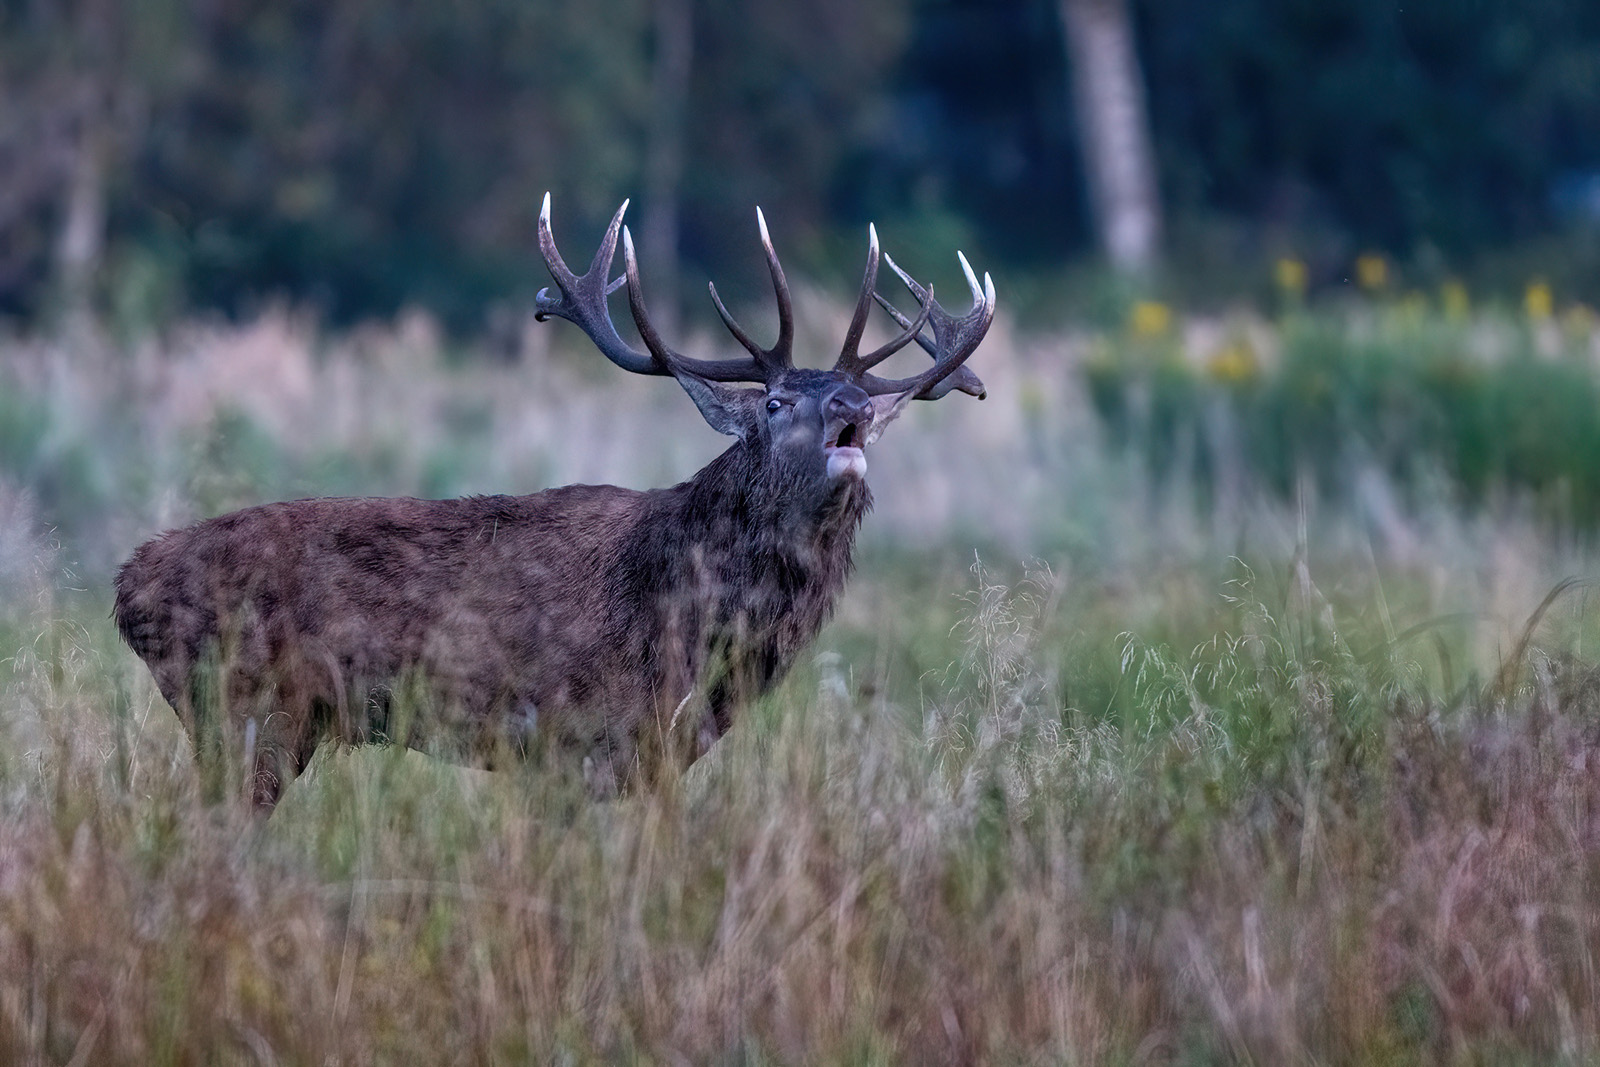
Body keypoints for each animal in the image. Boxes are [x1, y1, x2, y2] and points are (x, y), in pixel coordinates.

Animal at [113, 194, 995, 811]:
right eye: (775, 402)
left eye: (862, 403)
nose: (851, 403)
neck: (693, 623)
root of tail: (127, 588)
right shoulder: (577, 742)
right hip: (246, 710)